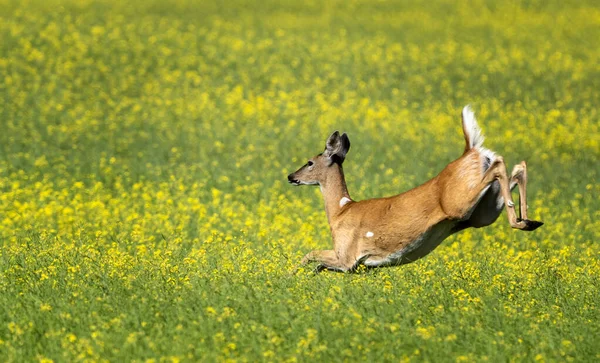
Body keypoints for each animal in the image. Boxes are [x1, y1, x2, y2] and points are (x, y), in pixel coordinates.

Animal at [288, 105, 548, 272]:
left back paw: (523, 221)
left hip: (460, 203)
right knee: (517, 168)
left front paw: (290, 277)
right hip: (484, 211)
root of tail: (470, 150)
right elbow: (317, 263)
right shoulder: (358, 266)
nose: (291, 176)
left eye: (309, 162)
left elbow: (309, 255)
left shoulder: (347, 256)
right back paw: (529, 220)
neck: (340, 210)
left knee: (499, 163)